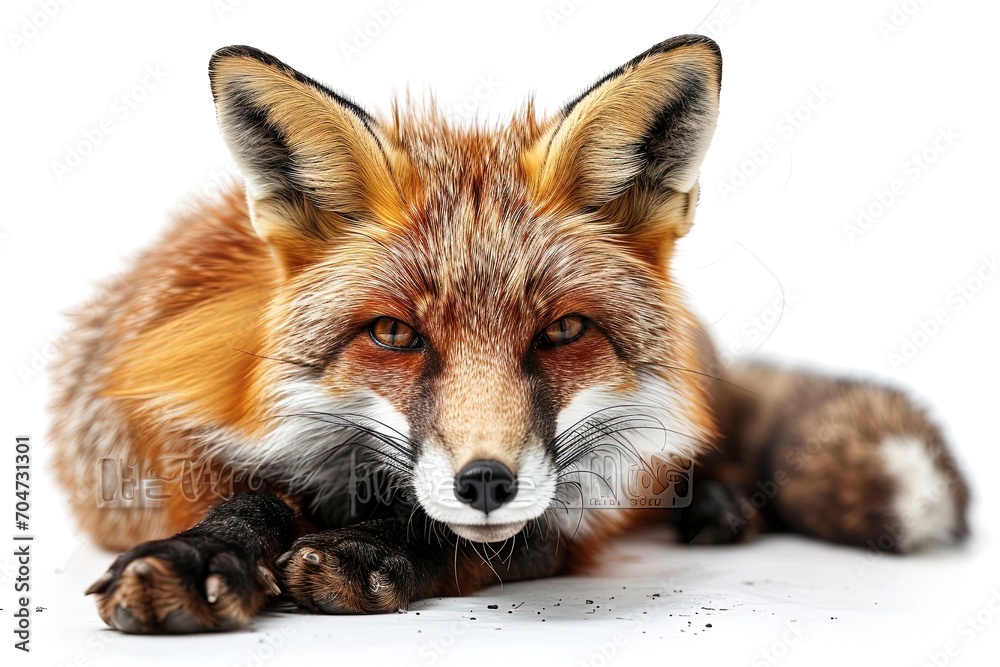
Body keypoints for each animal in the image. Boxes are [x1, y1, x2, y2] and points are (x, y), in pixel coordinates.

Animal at [50, 34, 969, 634]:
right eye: (393, 333)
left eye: (563, 328)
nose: (486, 482)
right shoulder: (164, 441)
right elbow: (240, 499)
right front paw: (206, 553)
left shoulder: (565, 516)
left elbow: (489, 542)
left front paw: (369, 552)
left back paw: (718, 498)